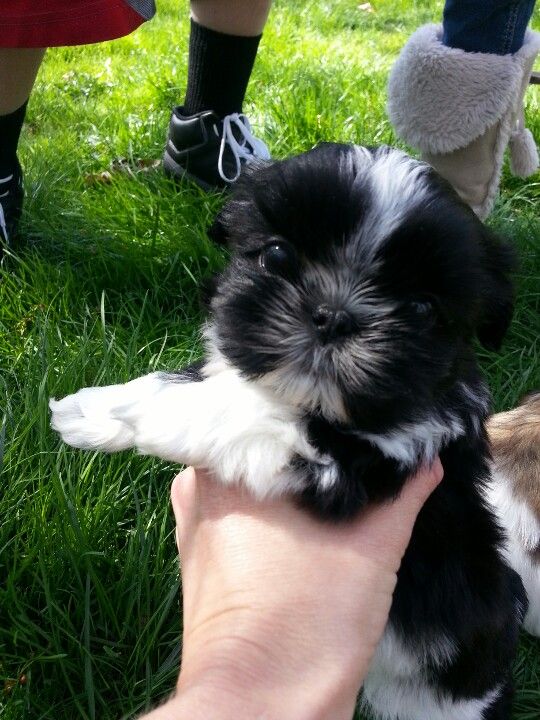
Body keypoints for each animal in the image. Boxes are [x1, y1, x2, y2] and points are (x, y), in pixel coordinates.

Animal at [51, 143, 528, 716]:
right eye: (277, 257)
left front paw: (126, 413)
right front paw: (95, 409)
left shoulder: (367, 458)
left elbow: (238, 408)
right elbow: (210, 377)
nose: (334, 316)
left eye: (421, 308)